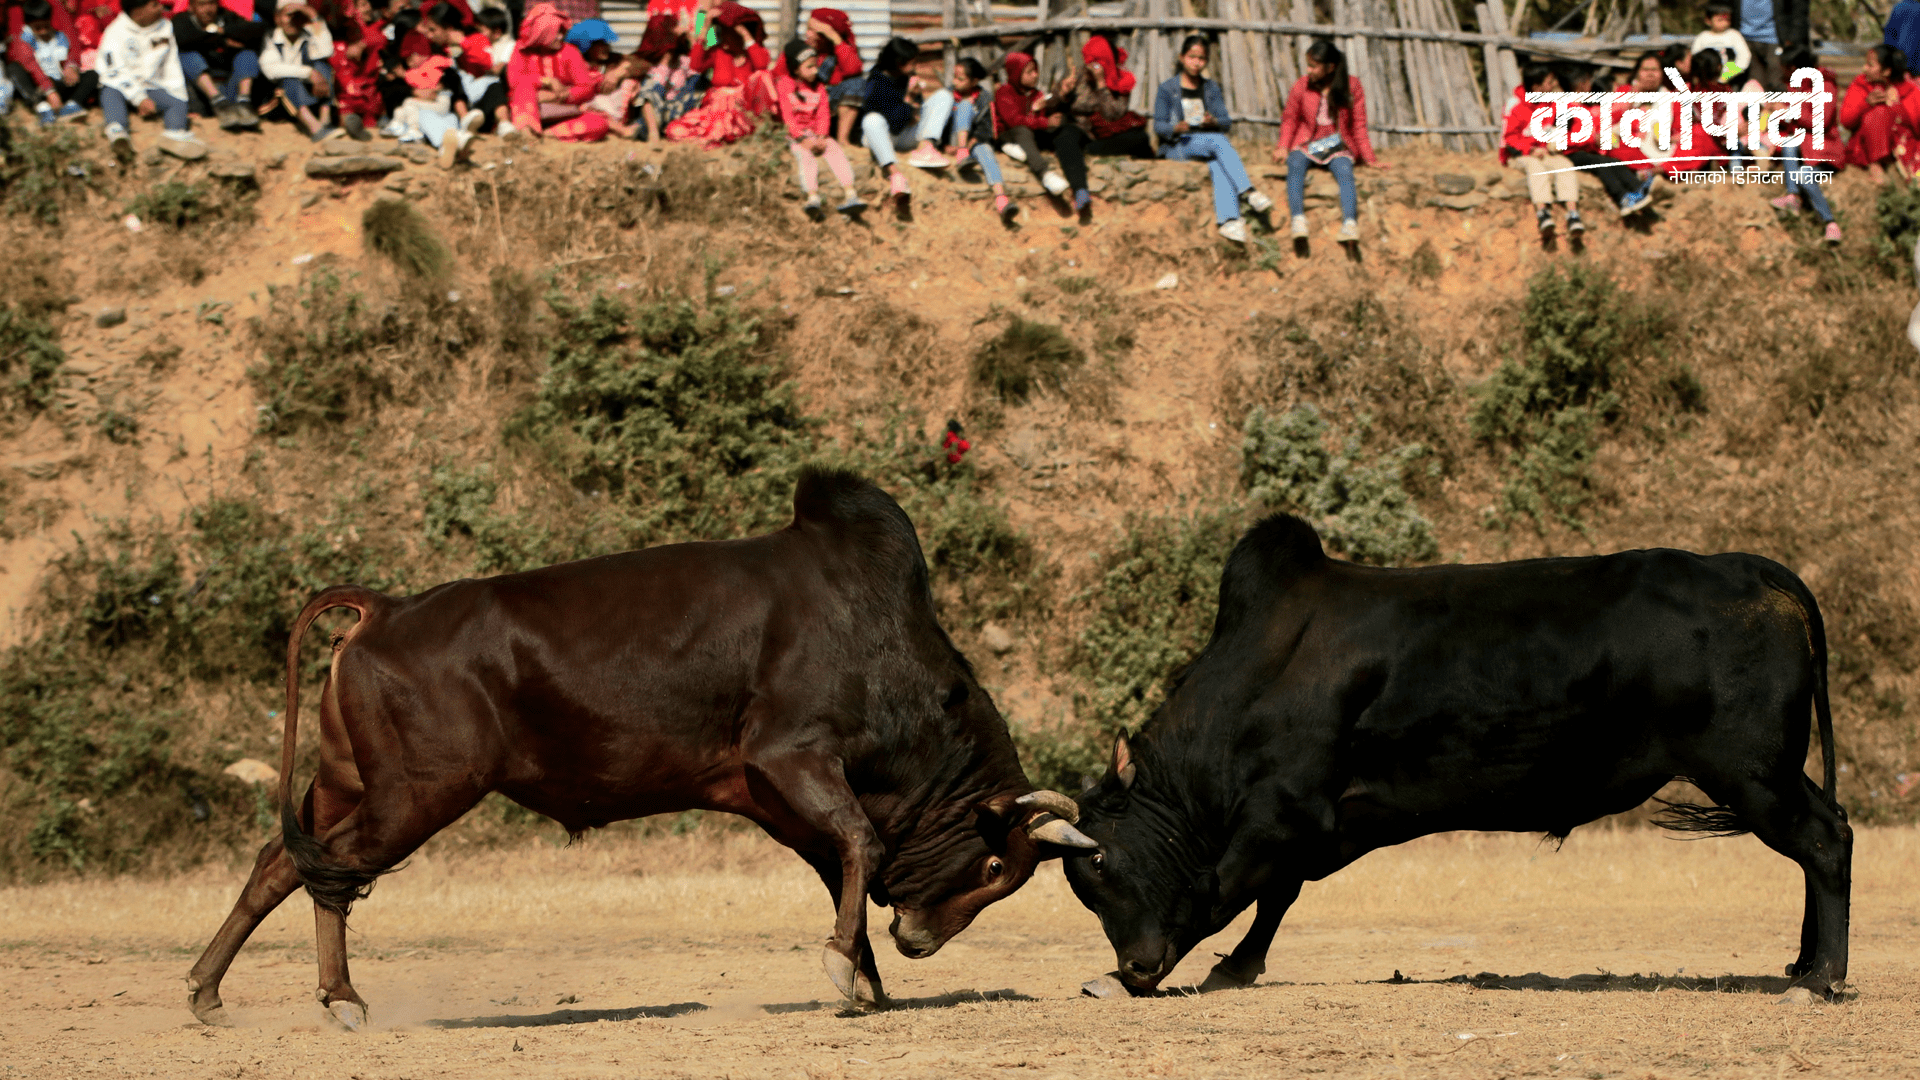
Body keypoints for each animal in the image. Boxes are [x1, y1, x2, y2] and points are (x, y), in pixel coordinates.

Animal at [192, 466, 1105, 1022]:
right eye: (996, 866)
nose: (921, 942)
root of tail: (384, 608)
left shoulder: (774, 799)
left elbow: (845, 860)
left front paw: (865, 979)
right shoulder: (791, 758)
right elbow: (861, 843)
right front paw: (850, 969)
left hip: (352, 785)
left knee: (286, 864)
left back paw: (229, 990)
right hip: (416, 792)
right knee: (329, 872)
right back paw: (328, 994)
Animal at [1059, 511, 1850, 991]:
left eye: (1097, 861)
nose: (1136, 961)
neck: (1258, 672)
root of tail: (1752, 569)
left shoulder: (1281, 813)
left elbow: (1221, 889)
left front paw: (1133, 976)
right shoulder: (1317, 824)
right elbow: (1274, 895)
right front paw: (1234, 968)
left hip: (1751, 771)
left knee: (1825, 841)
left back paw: (1822, 978)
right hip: (1776, 770)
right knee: (1827, 833)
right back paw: (1802, 963)